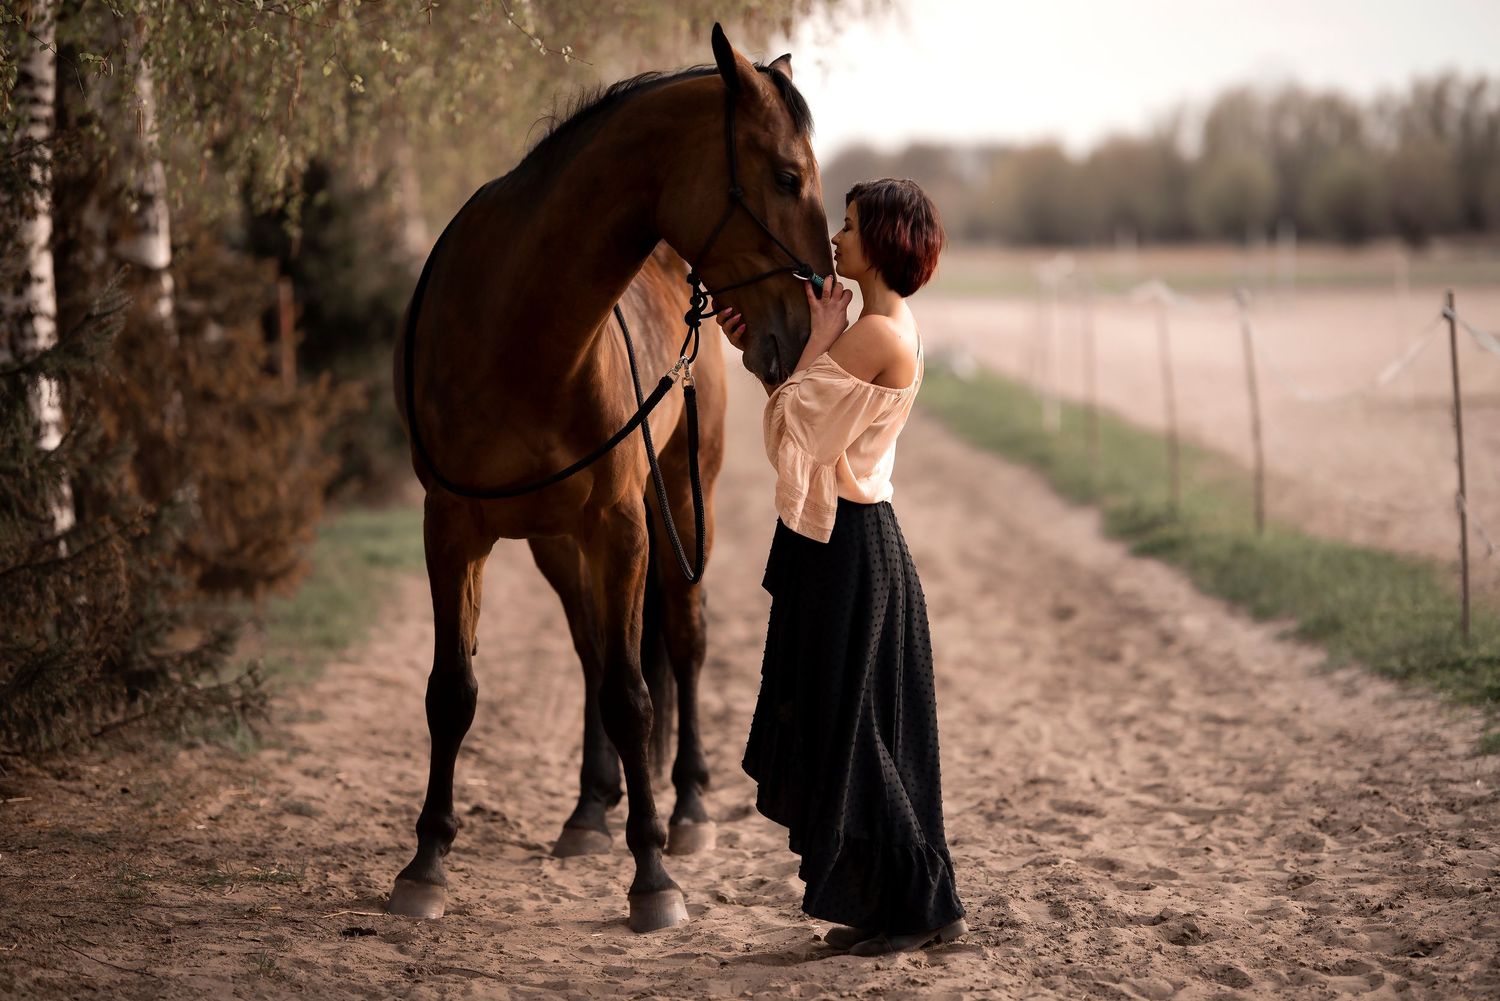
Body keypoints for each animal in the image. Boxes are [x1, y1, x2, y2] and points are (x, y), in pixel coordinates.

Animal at [388, 24, 833, 933]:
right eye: (784, 175)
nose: (808, 325)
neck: (517, 334)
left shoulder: (624, 527)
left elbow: (636, 694)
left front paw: (654, 875)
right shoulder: (451, 527)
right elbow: (454, 690)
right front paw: (426, 860)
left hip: (682, 508)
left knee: (684, 642)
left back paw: (688, 807)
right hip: (557, 542)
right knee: (593, 650)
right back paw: (590, 809)